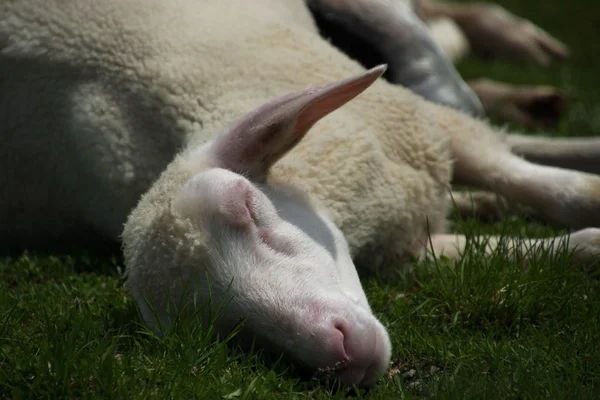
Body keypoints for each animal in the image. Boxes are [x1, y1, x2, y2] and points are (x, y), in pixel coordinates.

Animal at [1, 0, 600, 390]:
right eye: (223, 330)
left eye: (247, 206)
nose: (340, 354)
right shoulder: (405, 248)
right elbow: (501, 248)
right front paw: (577, 241)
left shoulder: (423, 130)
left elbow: (546, 183)